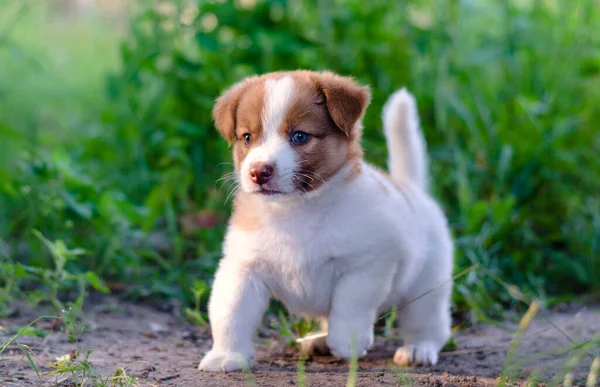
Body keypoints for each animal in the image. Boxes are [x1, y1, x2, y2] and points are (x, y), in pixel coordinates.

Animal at [199, 69, 452, 372]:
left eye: (299, 136)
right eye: (247, 137)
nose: (258, 172)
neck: (296, 210)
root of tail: (412, 189)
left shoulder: (367, 265)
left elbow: (350, 303)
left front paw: (347, 341)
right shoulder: (243, 268)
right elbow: (230, 313)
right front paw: (227, 355)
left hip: (427, 287)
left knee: (428, 324)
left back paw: (418, 349)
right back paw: (319, 340)